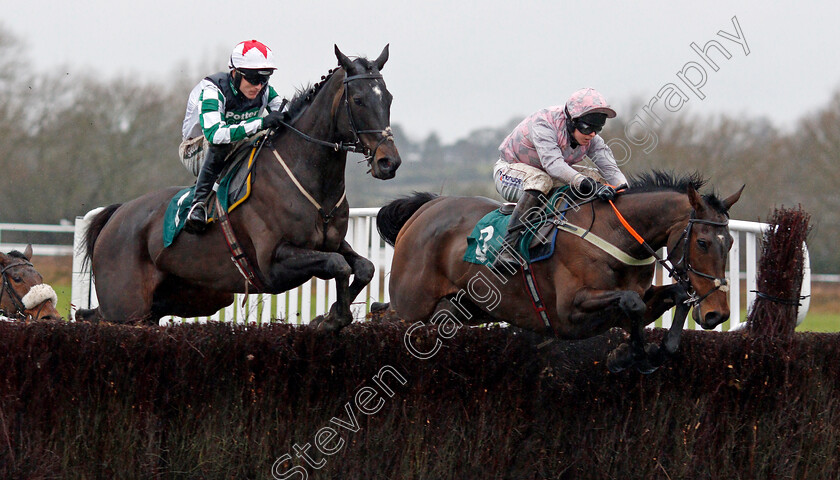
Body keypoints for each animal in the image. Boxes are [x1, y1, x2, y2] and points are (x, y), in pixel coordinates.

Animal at [76, 45, 400, 328]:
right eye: (358, 100)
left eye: (388, 98)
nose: (389, 162)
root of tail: (117, 214)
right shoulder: (273, 262)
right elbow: (338, 265)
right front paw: (332, 318)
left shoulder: (331, 243)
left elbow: (364, 267)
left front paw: (328, 315)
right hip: (125, 304)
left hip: (189, 298)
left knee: (90, 314)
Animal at [378, 172, 744, 376]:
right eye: (702, 242)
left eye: (730, 242)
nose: (717, 314)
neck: (614, 237)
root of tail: (427, 207)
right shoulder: (570, 312)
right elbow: (632, 303)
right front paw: (628, 356)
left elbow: (673, 297)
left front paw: (646, 353)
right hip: (411, 305)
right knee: (382, 314)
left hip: (463, 309)